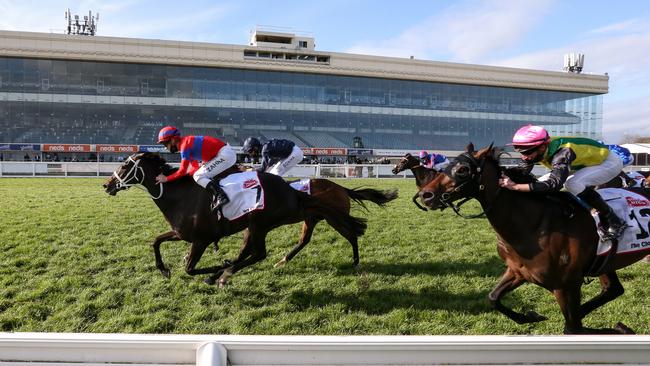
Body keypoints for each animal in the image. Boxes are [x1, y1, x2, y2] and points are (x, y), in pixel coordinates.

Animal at [416, 144, 648, 334]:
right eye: (447, 165)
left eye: (463, 169)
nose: (426, 195)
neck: (534, 225)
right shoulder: (517, 271)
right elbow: (492, 298)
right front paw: (530, 316)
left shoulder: (567, 287)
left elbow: (572, 329)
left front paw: (623, 329)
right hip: (605, 261)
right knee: (613, 289)